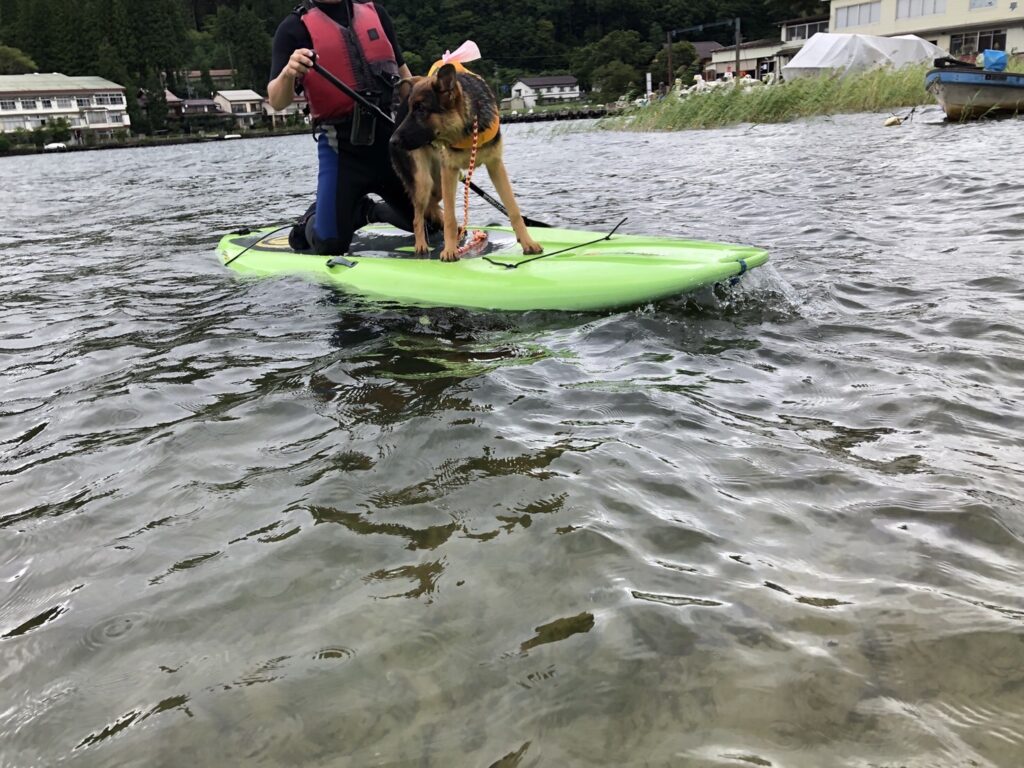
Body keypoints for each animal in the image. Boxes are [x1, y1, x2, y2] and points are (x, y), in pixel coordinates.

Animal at [387, 64, 544, 262]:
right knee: (418, 217)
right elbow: (450, 218)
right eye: (411, 110)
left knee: (431, 207)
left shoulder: (495, 166)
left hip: (437, 185)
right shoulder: (449, 170)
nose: (392, 141)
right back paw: (421, 245)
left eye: (421, 109)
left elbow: (513, 210)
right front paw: (449, 250)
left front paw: (527, 242)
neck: (465, 130)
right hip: (424, 182)